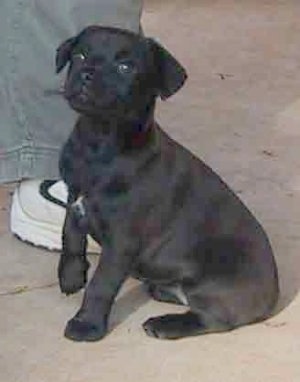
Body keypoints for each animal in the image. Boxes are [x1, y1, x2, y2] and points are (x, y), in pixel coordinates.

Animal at [56, 26, 278, 342]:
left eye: (126, 67)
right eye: (80, 56)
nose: (87, 72)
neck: (98, 142)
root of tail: (273, 293)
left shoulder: (122, 241)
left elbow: (102, 285)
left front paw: (87, 324)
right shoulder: (74, 199)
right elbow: (71, 238)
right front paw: (71, 277)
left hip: (215, 285)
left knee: (214, 320)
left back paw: (165, 324)